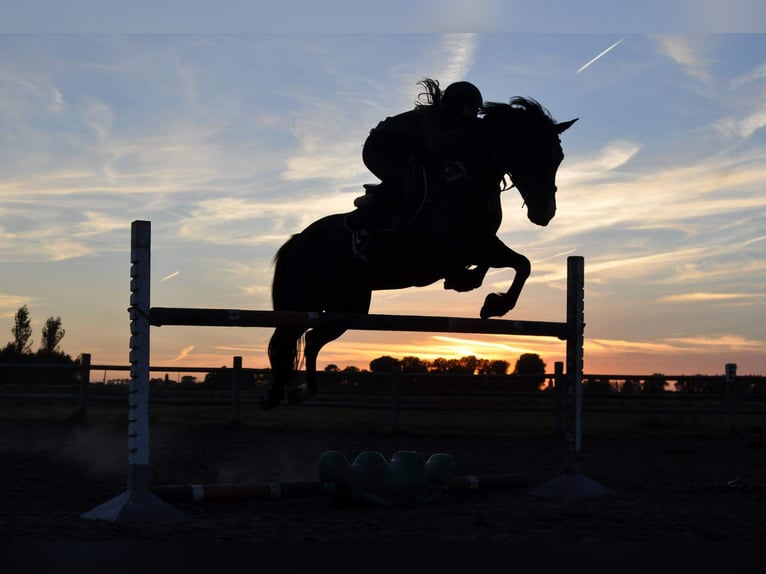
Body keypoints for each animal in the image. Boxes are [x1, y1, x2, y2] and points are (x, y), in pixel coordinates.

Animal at [262, 95, 576, 410]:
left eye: (559, 157)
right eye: (533, 153)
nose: (545, 213)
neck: (470, 182)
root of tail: (298, 240)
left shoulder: (482, 243)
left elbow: (521, 264)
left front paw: (487, 299)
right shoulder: (449, 250)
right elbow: (507, 263)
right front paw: (487, 298)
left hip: (349, 306)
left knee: (312, 340)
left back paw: (302, 391)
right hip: (302, 299)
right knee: (283, 339)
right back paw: (276, 393)